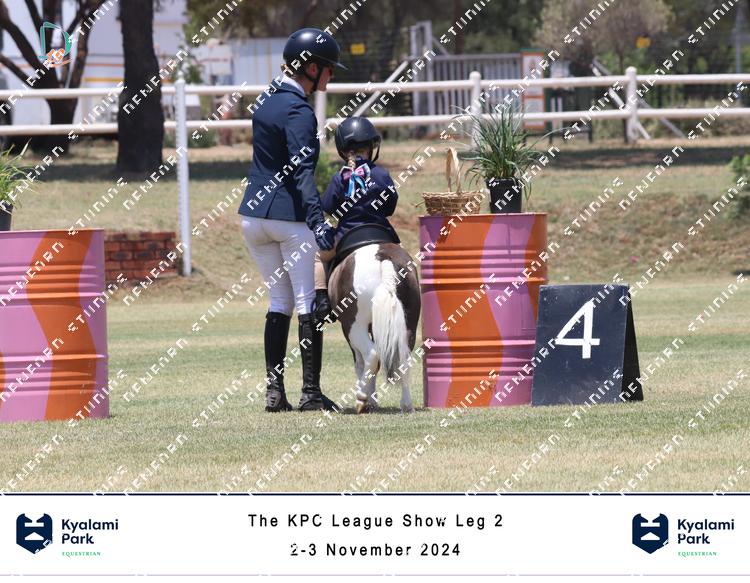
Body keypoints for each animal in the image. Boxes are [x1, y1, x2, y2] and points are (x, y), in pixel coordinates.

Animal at [326, 237, 421, 413]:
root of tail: (381, 256)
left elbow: (360, 363)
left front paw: (369, 400)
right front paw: (373, 400)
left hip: (353, 327)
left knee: (371, 354)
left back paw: (361, 397)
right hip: (409, 326)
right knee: (404, 358)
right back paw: (406, 405)